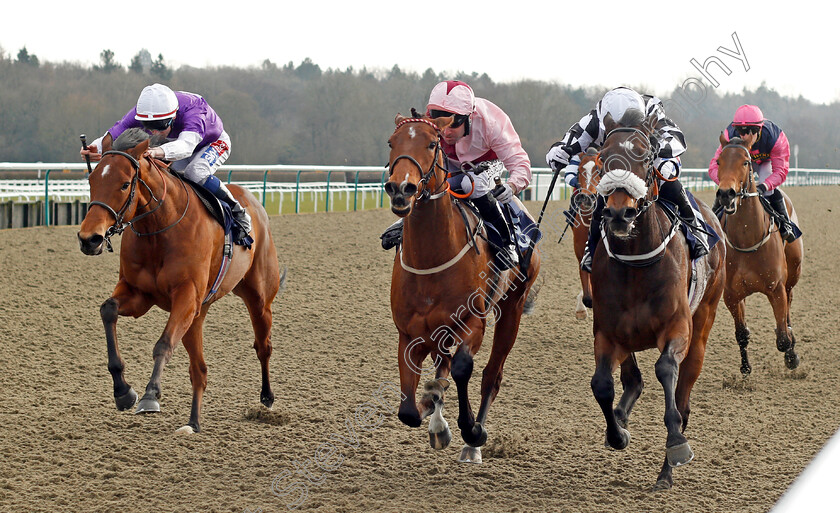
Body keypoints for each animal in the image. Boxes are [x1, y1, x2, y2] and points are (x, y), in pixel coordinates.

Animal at [76, 128, 278, 432]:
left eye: (124, 184)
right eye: (91, 180)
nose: (90, 239)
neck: (159, 228)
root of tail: (252, 201)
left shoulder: (186, 296)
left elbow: (163, 343)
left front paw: (150, 395)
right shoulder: (139, 294)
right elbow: (108, 309)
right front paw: (123, 391)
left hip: (258, 297)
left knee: (262, 345)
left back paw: (266, 397)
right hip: (198, 314)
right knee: (199, 370)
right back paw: (193, 423)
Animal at [384, 113, 540, 464]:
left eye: (432, 143)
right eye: (391, 142)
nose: (401, 189)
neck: (432, 259)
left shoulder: (473, 322)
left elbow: (461, 368)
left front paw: (470, 430)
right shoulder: (409, 334)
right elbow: (408, 409)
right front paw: (433, 418)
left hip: (512, 307)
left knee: (491, 375)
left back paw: (473, 445)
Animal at [588, 112, 724, 488]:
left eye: (646, 157)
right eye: (603, 157)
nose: (619, 214)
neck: (636, 262)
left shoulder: (677, 327)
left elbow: (666, 370)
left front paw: (676, 443)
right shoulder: (607, 332)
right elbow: (601, 384)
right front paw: (617, 432)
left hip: (703, 325)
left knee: (683, 398)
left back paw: (666, 470)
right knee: (631, 379)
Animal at [712, 134, 804, 374]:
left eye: (746, 162)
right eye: (719, 162)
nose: (726, 194)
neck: (747, 240)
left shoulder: (776, 289)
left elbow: (783, 339)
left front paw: (792, 357)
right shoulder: (731, 296)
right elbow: (741, 334)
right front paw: (745, 368)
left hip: (793, 275)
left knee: (789, 308)